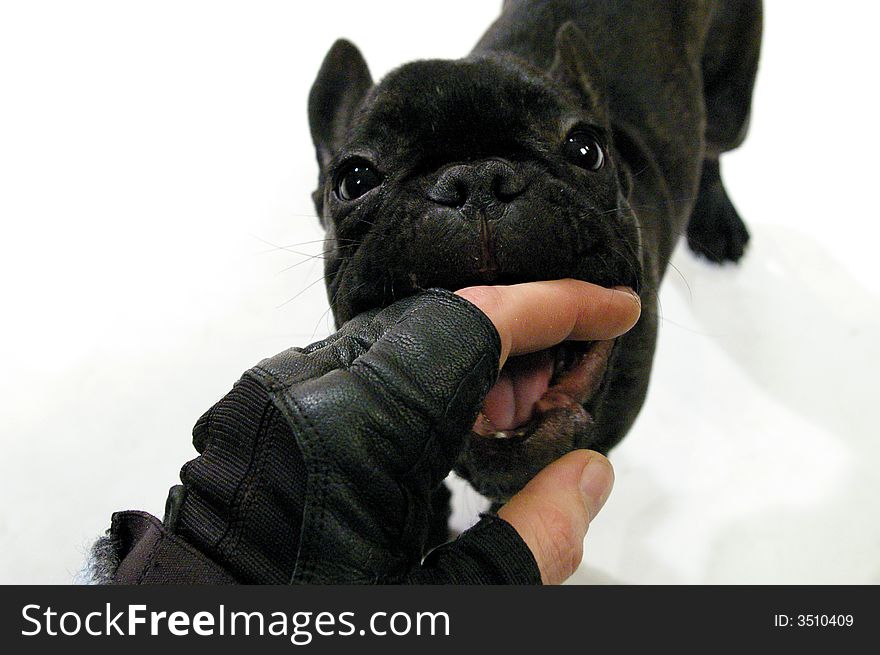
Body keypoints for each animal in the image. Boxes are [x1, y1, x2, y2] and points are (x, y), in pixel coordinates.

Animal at [306, 0, 760, 502]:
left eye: (587, 150)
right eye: (354, 180)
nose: (477, 181)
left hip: (730, 103)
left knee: (713, 148)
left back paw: (718, 222)